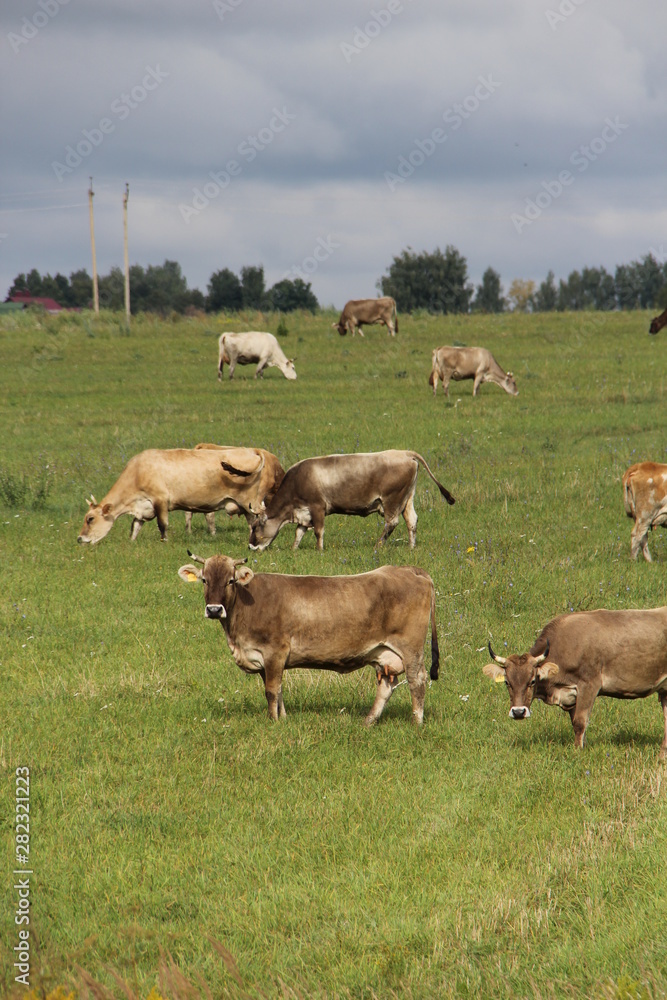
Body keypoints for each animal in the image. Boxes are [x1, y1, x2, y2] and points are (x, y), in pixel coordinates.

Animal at [77, 446, 284, 545]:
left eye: (90, 519)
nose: (80, 539)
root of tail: (251, 450)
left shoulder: (160, 500)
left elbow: (162, 524)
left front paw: (164, 542)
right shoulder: (143, 508)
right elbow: (135, 527)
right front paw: (131, 542)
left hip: (251, 502)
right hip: (247, 506)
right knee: (251, 522)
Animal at [178, 552, 440, 724]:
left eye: (230, 580)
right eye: (204, 580)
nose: (214, 609)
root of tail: (408, 569)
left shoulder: (275, 651)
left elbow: (271, 691)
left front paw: (273, 722)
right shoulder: (264, 660)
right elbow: (278, 690)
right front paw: (283, 718)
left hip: (411, 649)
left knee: (417, 680)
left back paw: (417, 722)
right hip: (384, 654)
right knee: (386, 685)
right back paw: (368, 722)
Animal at [248, 450, 455, 552]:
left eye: (255, 527)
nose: (250, 546)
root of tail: (405, 453)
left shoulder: (317, 507)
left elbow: (318, 531)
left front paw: (319, 550)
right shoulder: (304, 513)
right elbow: (299, 532)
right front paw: (294, 549)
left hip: (392, 500)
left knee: (392, 522)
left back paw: (378, 545)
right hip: (407, 499)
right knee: (411, 521)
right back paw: (411, 547)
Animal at [482, 608, 667, 756]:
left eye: (533, 681)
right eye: (507, 682)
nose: (518, 712)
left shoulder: (589, 684)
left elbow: (580, 722)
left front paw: (577, 752)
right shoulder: (571, 694)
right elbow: (575, 723)